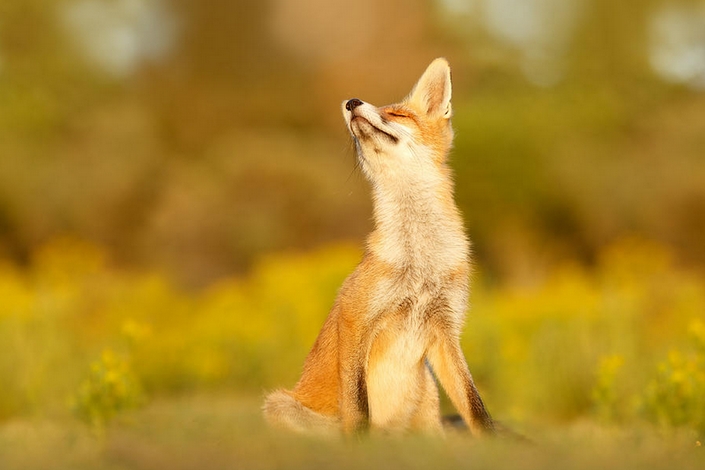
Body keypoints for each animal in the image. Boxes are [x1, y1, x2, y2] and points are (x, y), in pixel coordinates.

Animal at [262, 58, 495, 437]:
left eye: (397, 114)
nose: (351, 102)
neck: (420, 262)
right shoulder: (355, 318)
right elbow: (358, 406)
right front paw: (360, 445)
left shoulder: (446, 330)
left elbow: (475, 407)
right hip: (279, 405)